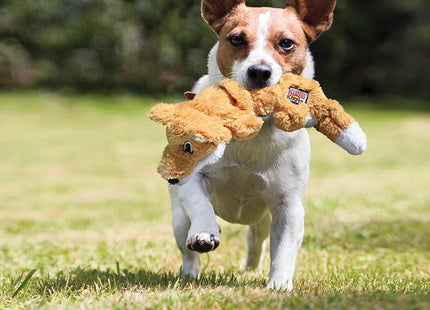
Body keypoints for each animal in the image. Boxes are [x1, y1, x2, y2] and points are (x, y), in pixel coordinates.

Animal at [167, 0, 336, 290]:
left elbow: (284, 250)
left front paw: (279, 285)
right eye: (236, 39)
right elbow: (200, 202)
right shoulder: (193, 181)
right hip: (178, 218)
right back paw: (191, 270)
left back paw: (252, 268)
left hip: (264, 219)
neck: (253, 125)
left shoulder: (288, 205)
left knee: (256, 240)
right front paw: (204, 232)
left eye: (287, 43)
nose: (259, 71)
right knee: (187, 249)